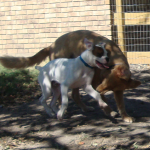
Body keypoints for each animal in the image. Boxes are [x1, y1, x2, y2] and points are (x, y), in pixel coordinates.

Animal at [0, 29, 141, 122]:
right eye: (104, 81)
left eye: (108, 86)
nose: (99, 89)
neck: (113, 58)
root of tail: (50, 45)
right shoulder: (95, 83)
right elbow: (101, 98)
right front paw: (109, 111)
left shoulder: (117, 90)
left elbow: (120, 104)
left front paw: (125, 116)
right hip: (53, 85)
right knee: (57, 99)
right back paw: (58, 111)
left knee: (71, 96)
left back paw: (80, 108)